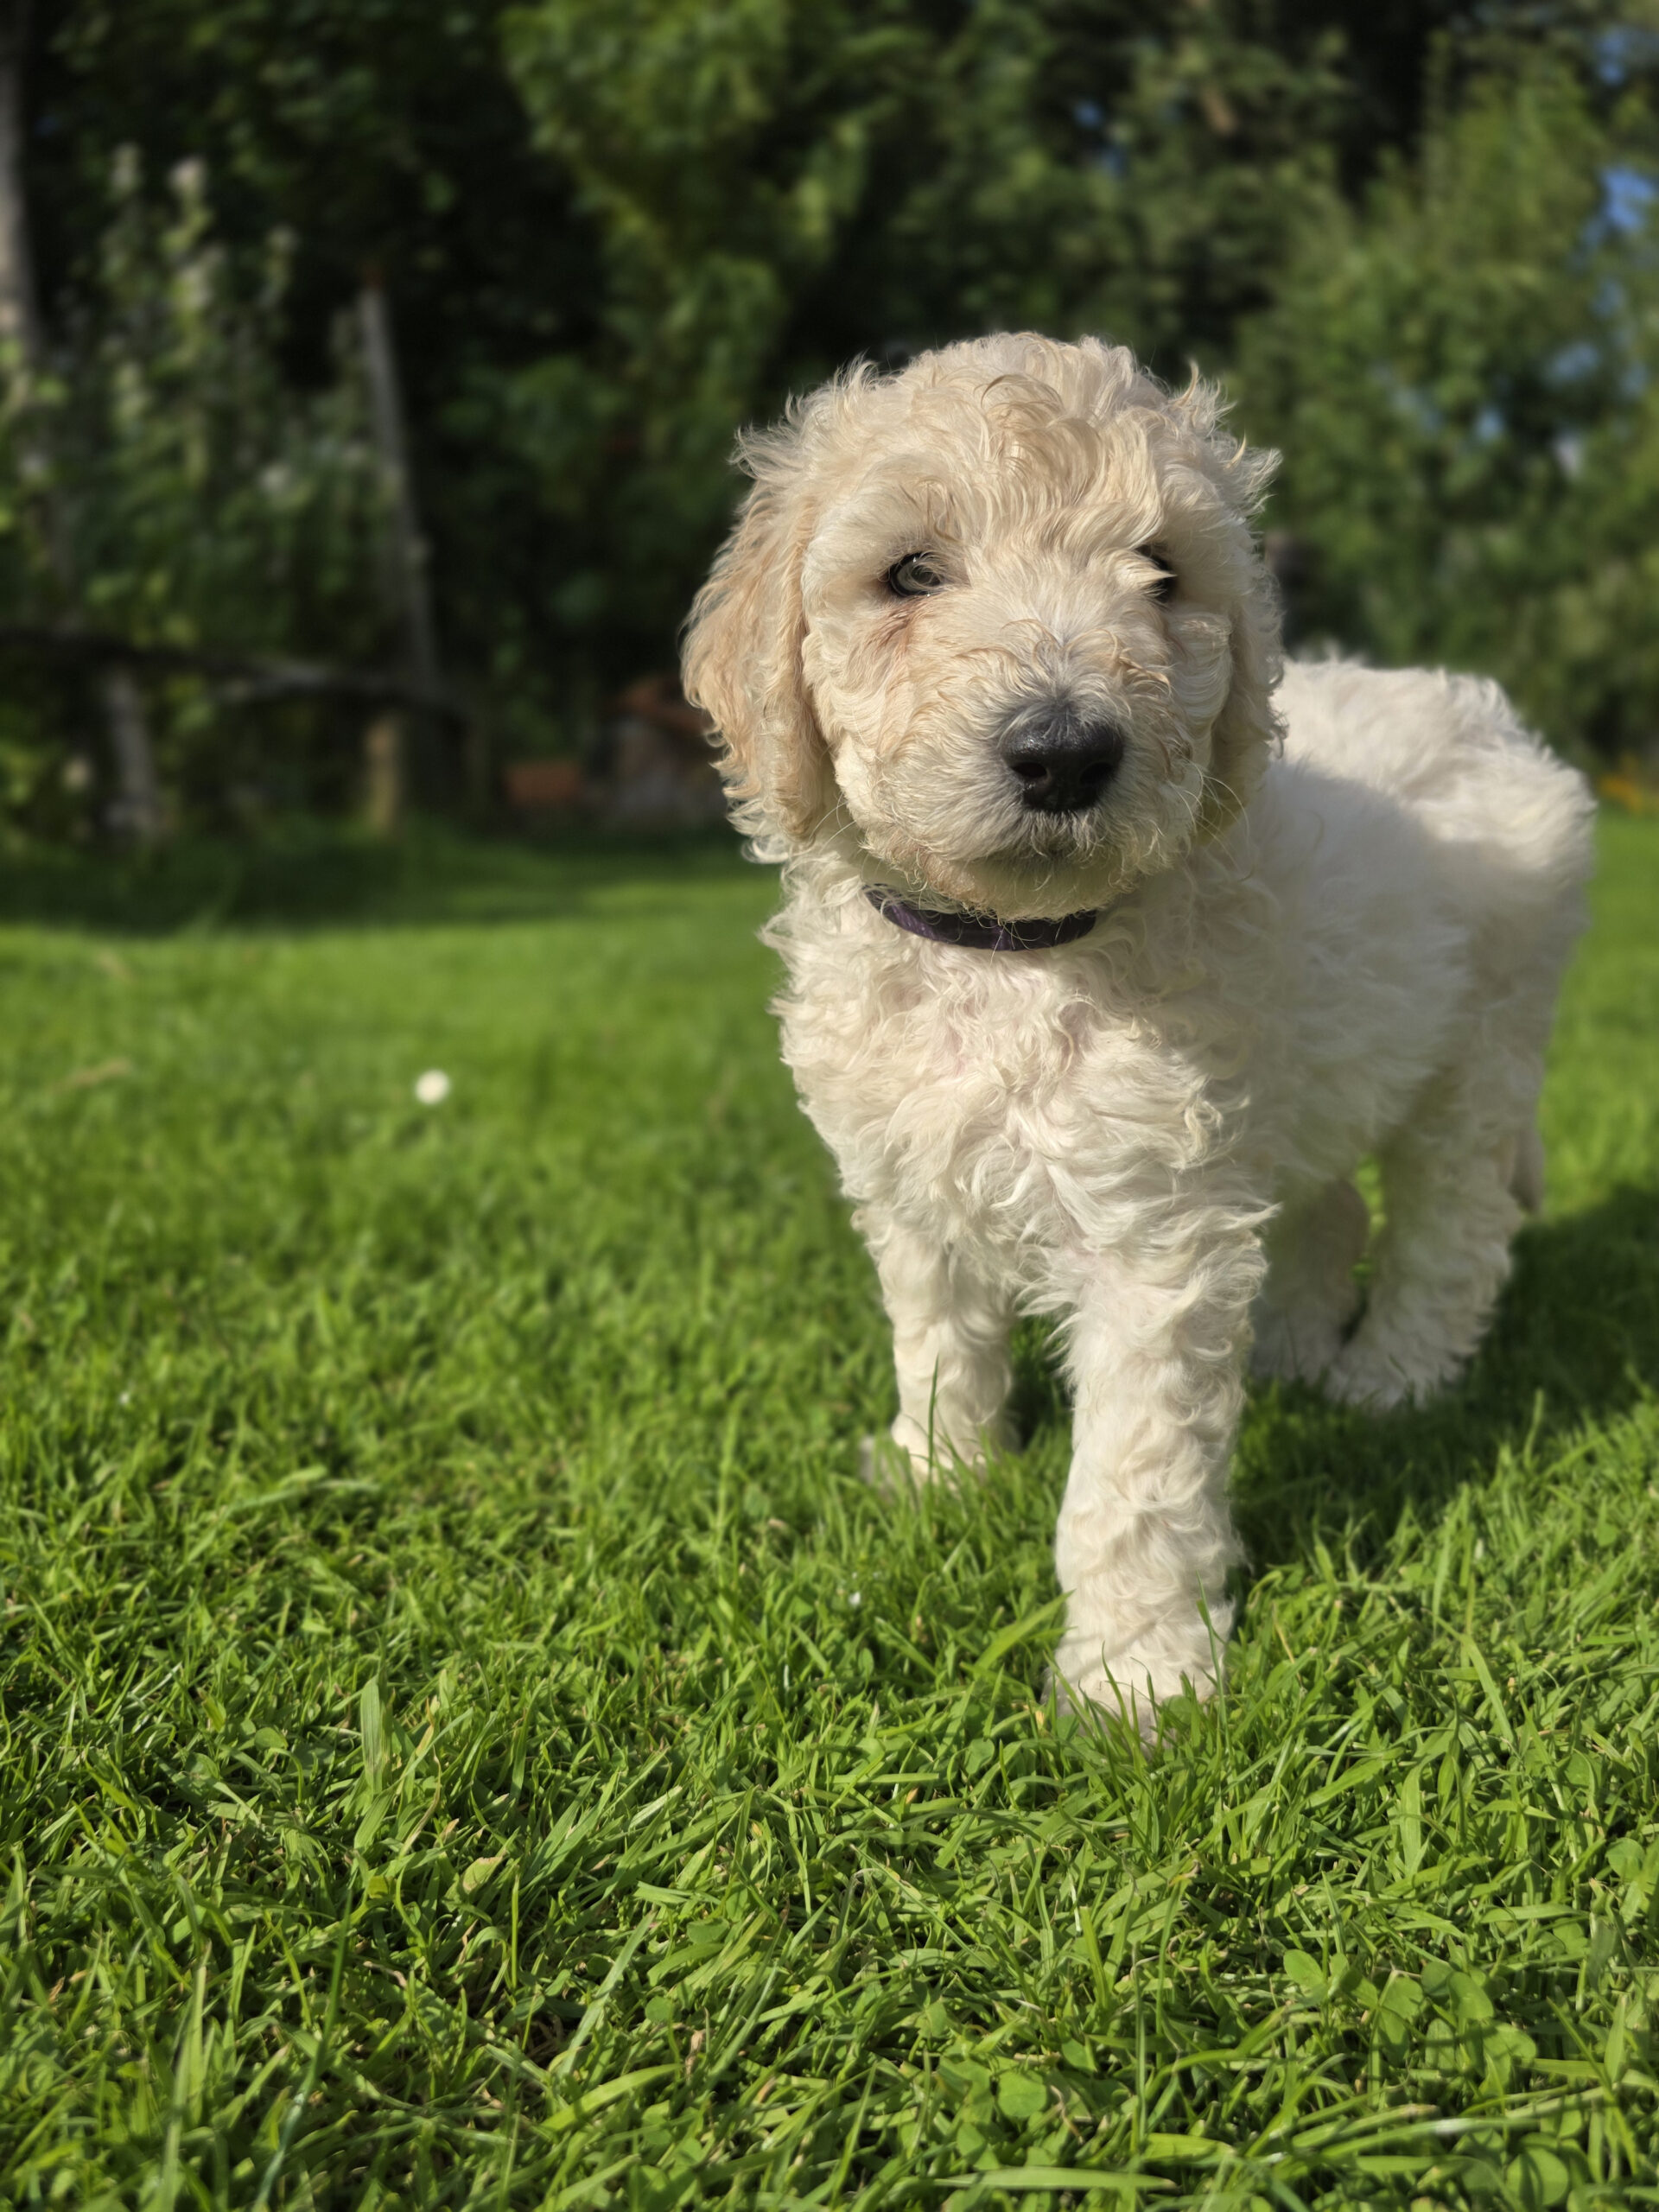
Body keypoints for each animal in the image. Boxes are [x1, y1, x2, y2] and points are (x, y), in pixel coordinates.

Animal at [683, 333, 1594, 1729]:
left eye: (1162, 573)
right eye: (910, 573)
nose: (1065, 753)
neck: (1007, 951)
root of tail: (1491, 718)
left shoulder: (1151, 1234)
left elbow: (1134, 1474)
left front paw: (1135, 1680)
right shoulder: (907, 1177)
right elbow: (936, 1336)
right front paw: (937, 1476)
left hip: (1481, 1048)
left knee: (1454, 1227)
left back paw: (1388, 1379)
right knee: (1326, 1203)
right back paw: (1293, 1347)